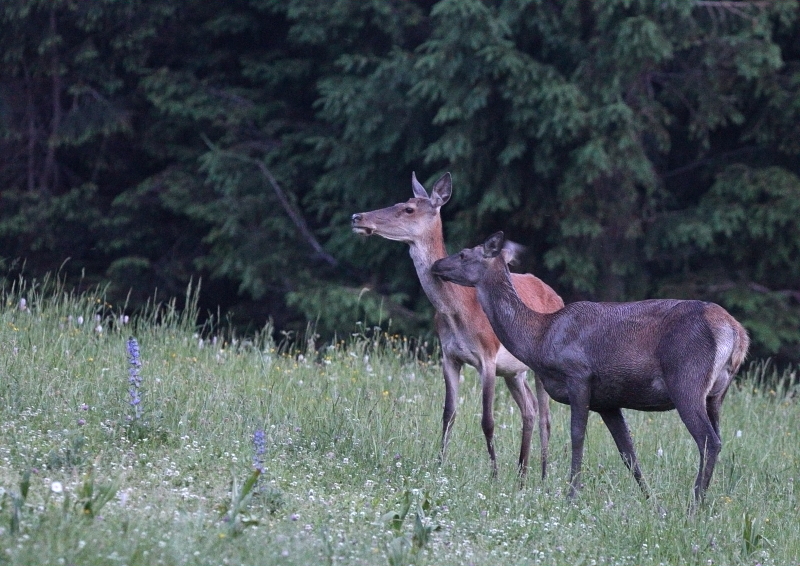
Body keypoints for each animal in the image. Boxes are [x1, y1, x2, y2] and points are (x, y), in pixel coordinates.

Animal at [350, 173, 564, 484]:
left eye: (408, 209)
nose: (357, 217)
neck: (456, 311)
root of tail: (558, 296)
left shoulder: (488, 356)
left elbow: (488, 420)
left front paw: (494, 474)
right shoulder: (449, 356)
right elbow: (448, 413)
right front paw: (439, 464)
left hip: (540, 364)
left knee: (546, 417)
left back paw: (543, 477)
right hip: (514, 371)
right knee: (530, 409)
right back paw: (522, 474)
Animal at [432, 233, 752, 504]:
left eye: (464, 253)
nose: (436, 264)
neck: (540, 338)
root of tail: (737, 333)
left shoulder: (578, 375)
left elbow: (577, 436)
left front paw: (571, 494)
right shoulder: (607, 401)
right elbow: (628, 452)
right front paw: (651, 500)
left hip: (687, 379)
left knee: (709, 441)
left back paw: (694, 504)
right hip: (716, 393)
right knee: (717, 437)